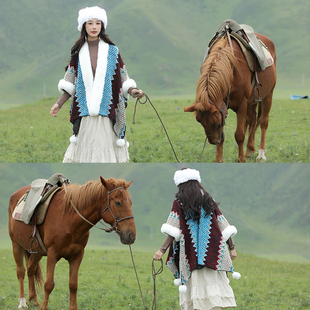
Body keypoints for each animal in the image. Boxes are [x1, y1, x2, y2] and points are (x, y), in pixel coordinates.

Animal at [7, 177, 134, 310]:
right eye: (118, 202)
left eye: (130, 203)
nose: (131, 235)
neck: (68, 220)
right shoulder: (52, 254)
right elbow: (49, 284)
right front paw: (43, 307)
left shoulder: (77, 255)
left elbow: (73, 285)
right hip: (16, 244)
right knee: (21, 271)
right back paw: (22, 302)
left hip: (37, 250)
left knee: (31, 269)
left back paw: (34, 300)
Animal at [184, 29, 276, 163]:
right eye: (199, 120)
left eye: (215, 121)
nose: (213, 141)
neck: (231, 70)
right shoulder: (223, 106)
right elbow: (224, 136)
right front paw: (219, 160)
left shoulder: (242, 104)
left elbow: (239, 135)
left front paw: (241, 160)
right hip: (251, 102)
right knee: (252, 121)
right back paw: (249, 151)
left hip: (267, 95)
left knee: (263, 122)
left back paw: (261, 154)